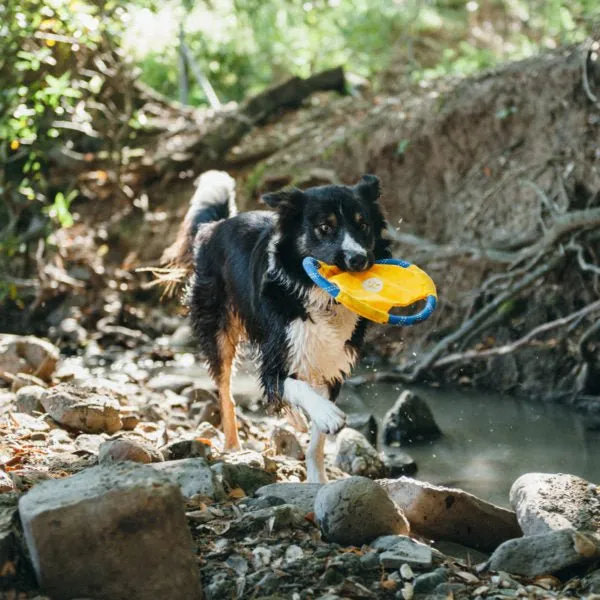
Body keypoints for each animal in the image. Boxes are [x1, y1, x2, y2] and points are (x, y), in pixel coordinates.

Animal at [163, 170, 390, 482]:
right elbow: (293, 386)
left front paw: (318, 478)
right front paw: (328, 414)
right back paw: (233, 445)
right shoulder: (274, 360)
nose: (359, 259)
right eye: (324, 227)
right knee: (226, 392)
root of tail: (215, 226)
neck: (319, 297)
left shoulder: (332, 362)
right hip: (218, 330)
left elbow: (316, 440)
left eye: (363, 224)